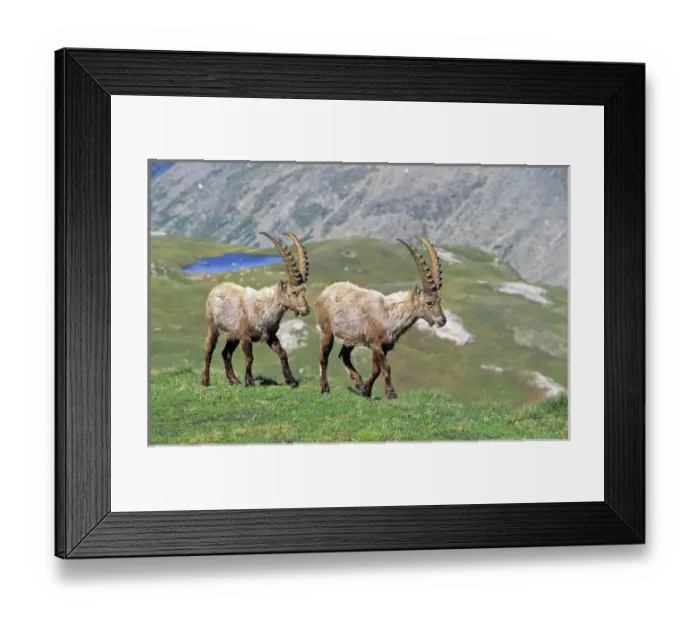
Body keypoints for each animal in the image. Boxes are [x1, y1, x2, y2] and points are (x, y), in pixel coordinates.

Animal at [201, 232, 310, 388]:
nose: (306, 309)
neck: (264, 310)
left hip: (233, 336)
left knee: (226, 353)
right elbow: (250, 358)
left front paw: (291, 381)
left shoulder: (270, 335)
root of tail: (215, 289)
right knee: (208, 351)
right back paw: (206, 381)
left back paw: (234, 380)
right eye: (294, 292)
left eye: (304, 291)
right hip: (213, 328)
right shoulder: (246, 337)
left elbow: (283, 353)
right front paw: (250, 382)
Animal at [314, 237, 447, 399]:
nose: (442, 320)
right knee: (323, 357)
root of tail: (323, 293)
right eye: (428, 302)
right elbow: (386, 367)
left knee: (343, 355)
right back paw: (325, 388)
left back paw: (358, 382)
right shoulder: (375, 343)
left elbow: (376, 370)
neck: (391, 315)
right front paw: (391, 393)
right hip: (327, 331)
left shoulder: (385, 346)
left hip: (351, 338)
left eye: (439, 300)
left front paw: (366, 390)